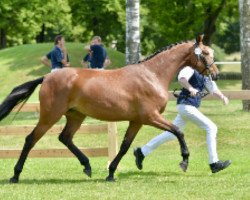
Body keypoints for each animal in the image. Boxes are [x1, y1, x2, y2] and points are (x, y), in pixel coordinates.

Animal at [0, 34, 218, 183]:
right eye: (206, 53)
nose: (215, 73)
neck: (152, 75)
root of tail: (47, 77)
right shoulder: (151, 117)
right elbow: (178, 132)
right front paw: (184, 161)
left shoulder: (137, 121)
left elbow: (124, 146)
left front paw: (112, 173)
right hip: (50, 116)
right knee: (31, 139)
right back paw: (15, 175)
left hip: (76, 116)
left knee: (65, 138)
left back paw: (87, 166)